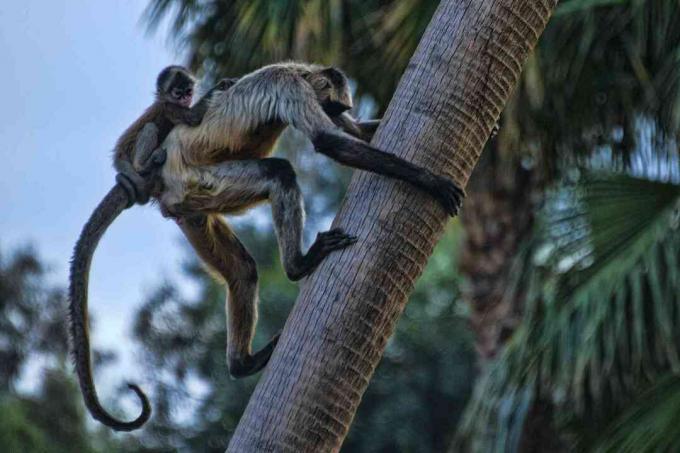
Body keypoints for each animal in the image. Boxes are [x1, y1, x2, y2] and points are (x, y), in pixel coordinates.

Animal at [69, 66, 234, 430]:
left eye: (187, 88)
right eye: (178, 92)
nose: (186, 96)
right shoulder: (169, 110)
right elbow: (192, 118)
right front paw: (221, 86)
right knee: (148, 130)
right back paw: (147, 163)